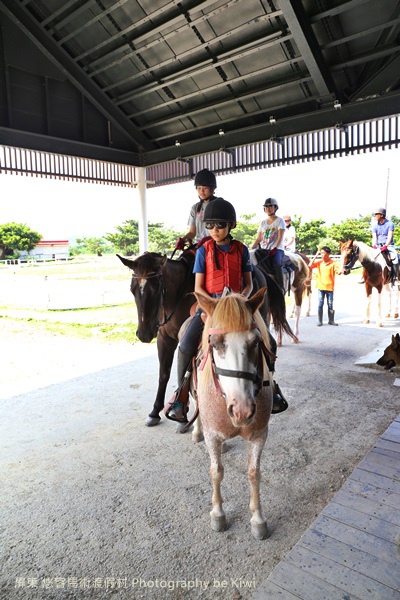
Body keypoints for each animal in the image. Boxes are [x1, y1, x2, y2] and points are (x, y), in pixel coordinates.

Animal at [117, 251, 296, 428]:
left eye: (157, 288)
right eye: (132, 289)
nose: (144, 334)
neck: (178, 297)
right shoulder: (164, 338)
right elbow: (164, 374)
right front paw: (156, 411)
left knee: (269, 345)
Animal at [192, 288, 274, 540]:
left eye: (255, 342)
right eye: (215, 343)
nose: (242, 410)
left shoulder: (260, 434)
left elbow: (254, 473)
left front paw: (258, 519)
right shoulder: (212, 435)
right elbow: (216, 471)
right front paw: (218, 514)